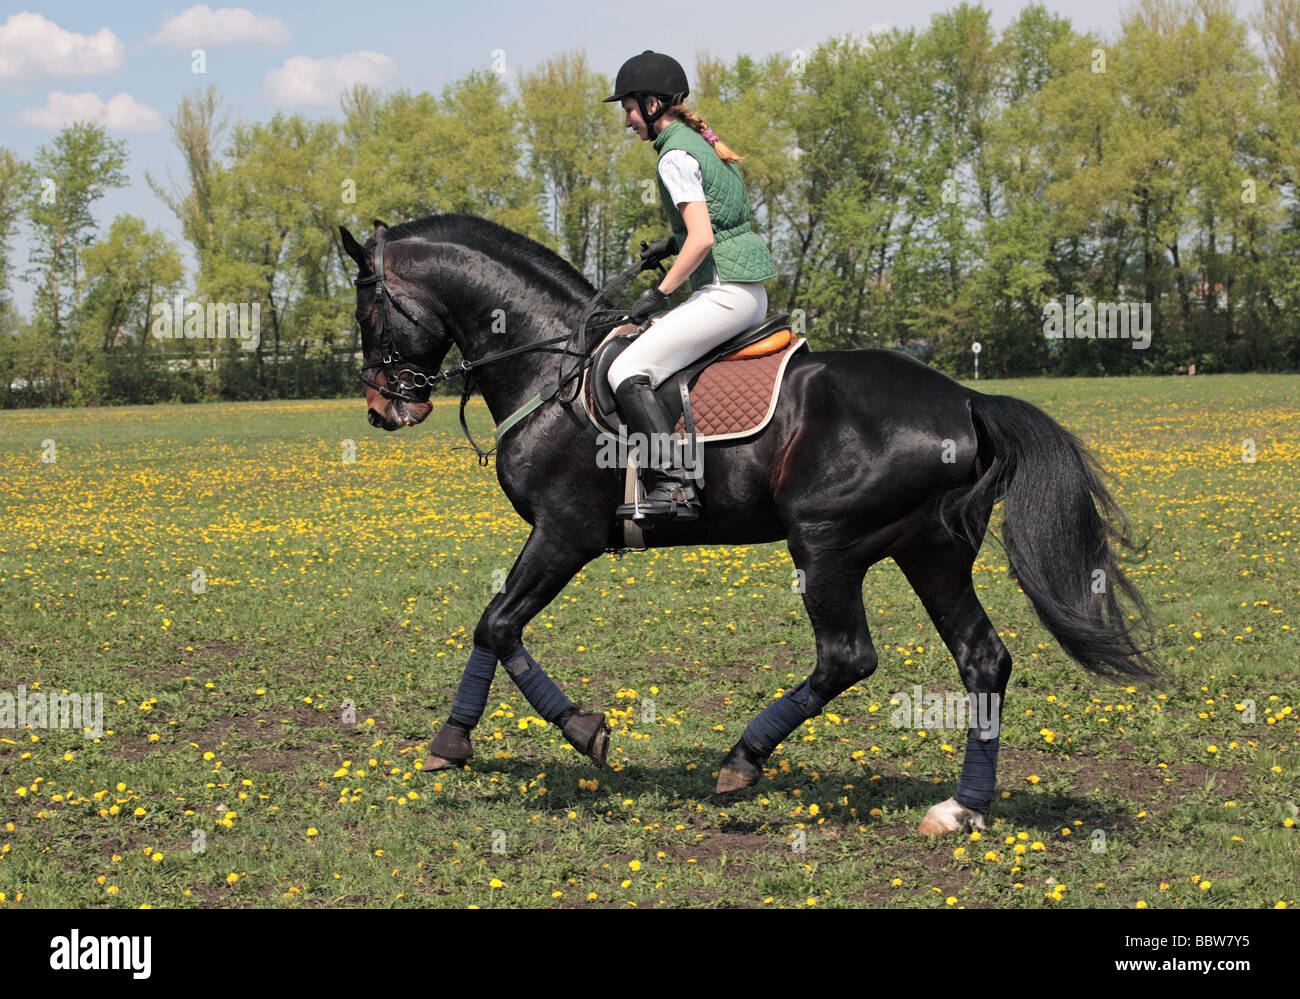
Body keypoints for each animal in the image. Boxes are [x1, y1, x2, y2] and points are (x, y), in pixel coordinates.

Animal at [338, 212, 1159, 836]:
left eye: (364, 306)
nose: (383, 407)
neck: (550, 362)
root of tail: (964, 398)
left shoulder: (565, 533)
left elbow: (499, 623)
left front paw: (565, 731)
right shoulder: (555, 537)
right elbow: (493, 624)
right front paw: (467, 738)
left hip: (826, 544)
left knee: (847, 658)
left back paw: (742, 760)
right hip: (933, 552)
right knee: (983, 659)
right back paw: (961, 807)